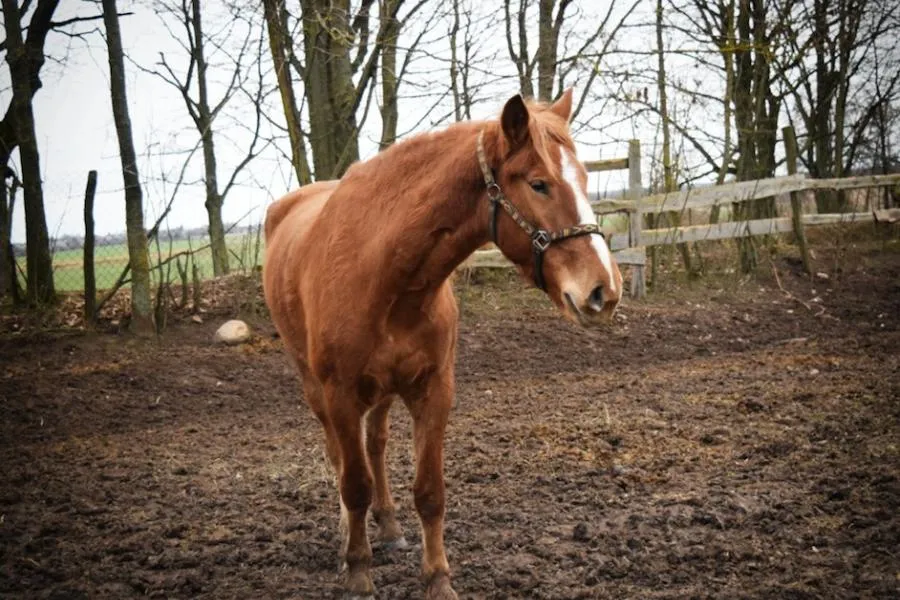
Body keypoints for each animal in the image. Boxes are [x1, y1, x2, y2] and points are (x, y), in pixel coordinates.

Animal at [264, 90, 624, 600]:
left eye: (585, 179)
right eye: (538, 184)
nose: (603, 290)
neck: (384, 275)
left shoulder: (435, 389)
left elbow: (430, 492)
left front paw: (437, 577)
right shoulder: (340, 394)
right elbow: (353, 484)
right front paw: (358, 571)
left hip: (381, 393)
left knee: (375, 445)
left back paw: (389, 527)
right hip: (316, 389)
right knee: (341, 456)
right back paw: (346, 537)